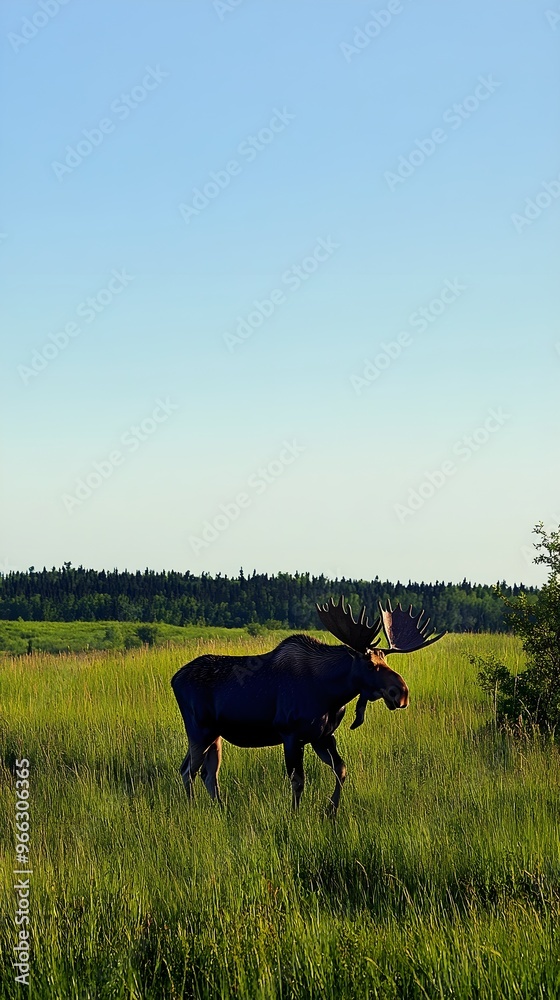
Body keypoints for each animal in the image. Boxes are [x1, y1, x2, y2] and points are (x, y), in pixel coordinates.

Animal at [173, 592, 444, 812]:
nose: (401, 693)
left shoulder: (322, 736)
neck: (330, 694)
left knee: (208, 774)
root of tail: (174, 679)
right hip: (199, 730)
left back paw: (221, 809)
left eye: (385, 660)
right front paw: (295, 815)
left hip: (215, 735)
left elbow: (341, 770)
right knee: (188, 771)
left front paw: (331, 810)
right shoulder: (290, 733)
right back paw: (192, 809)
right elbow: (298, 780)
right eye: (369, 664)